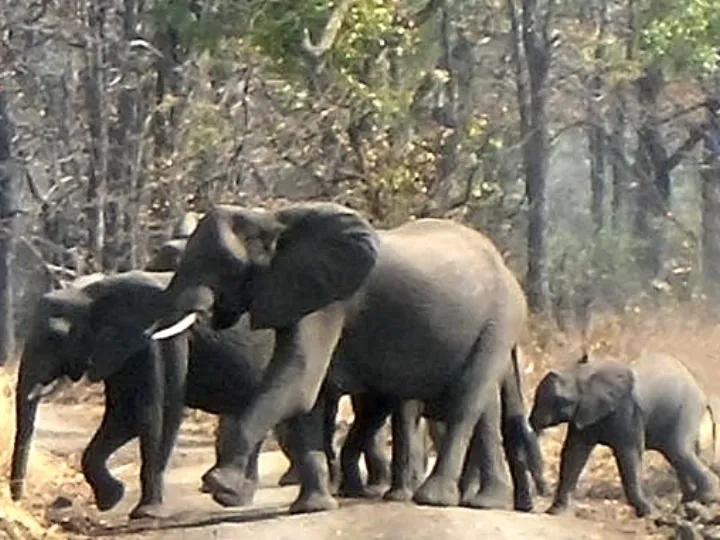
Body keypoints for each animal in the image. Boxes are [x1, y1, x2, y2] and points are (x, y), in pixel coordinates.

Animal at [149, 202, 534, 514]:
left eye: (226, 267)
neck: (272, 219)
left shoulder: (329, 302)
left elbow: (298, 380)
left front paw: (220, 486)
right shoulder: (300, 296)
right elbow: (308, 396)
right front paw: (312, 507)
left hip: (500, 320)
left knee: (466, 402)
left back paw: (434, 499)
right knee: (483, 408)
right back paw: (485, 502)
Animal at [529, 351, 720, 518]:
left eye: (562, 401)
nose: (541, 493)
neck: (585, 373)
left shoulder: (627, 410)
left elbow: (628, 453)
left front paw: (650, 513)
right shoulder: (584, 413)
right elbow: (574, 452)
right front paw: (554, 511)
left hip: (687, 409)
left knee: (679, 449)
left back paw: (707, 497)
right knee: (675, 454)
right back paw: (688, 503)